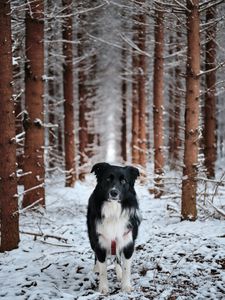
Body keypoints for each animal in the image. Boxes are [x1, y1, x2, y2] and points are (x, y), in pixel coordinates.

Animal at [86, 162, 141, 292]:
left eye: (124, 181)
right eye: (108, 179)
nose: (114, 193)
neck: (113, 210)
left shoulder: (128, 243)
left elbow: (126, 268)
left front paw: (126, 286)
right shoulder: (99, 242)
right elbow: (103, 270)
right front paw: (103, 288)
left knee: (117, 257)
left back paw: (119, 273)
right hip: (92, 239)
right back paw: (95, 270)